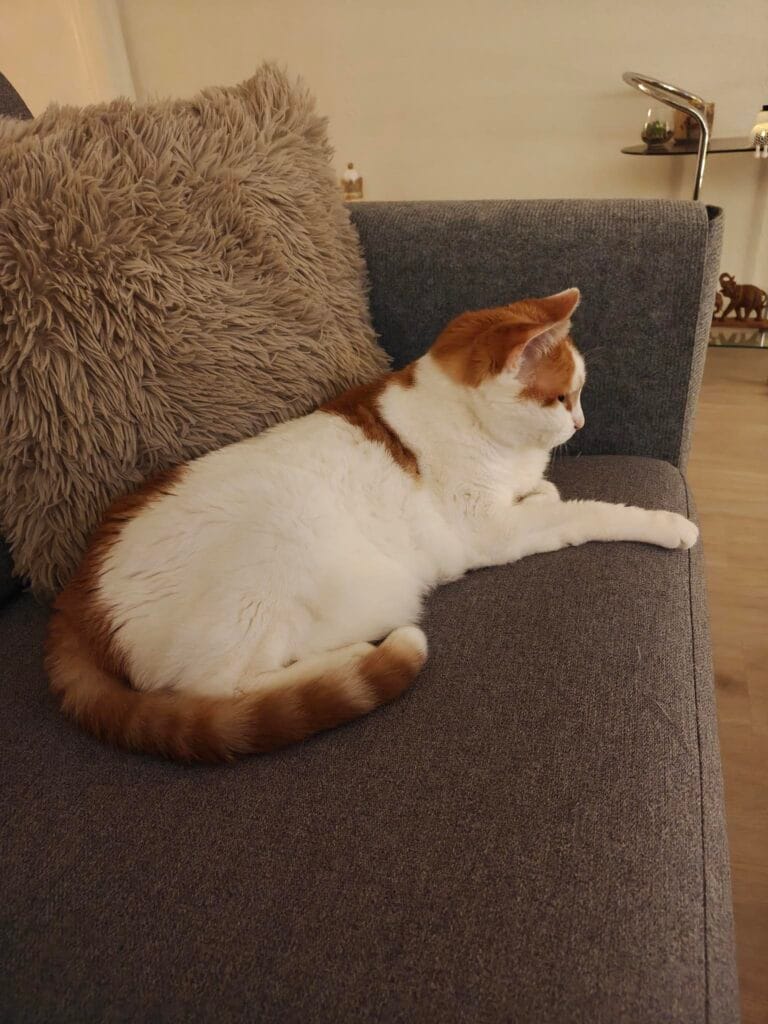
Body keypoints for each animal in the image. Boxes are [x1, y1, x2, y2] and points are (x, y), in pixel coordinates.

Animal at [46, 288, 698, 762]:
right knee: (217, 689)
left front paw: (540, 487)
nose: (582, 423)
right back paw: (356, 655)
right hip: (276, 554)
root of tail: (74, 597)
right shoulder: (491, 531)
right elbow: (585, 513)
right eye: (565, 397)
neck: (472, 425)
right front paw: (668, 524)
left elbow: (548, 493)